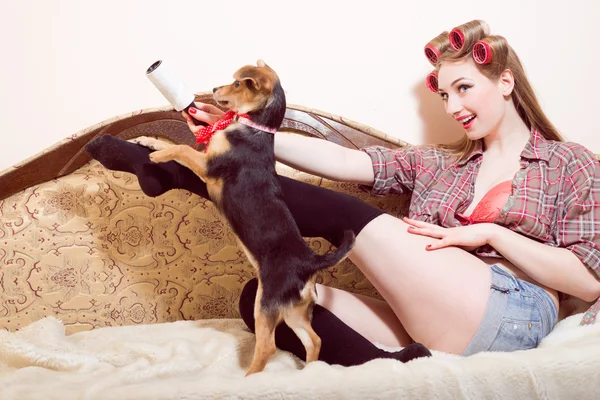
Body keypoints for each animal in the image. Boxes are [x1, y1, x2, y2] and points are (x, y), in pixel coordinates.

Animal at [134, 60, 354, 376]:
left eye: (237, 83)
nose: (213, 89)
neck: (253, 128)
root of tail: (310, 262)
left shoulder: (208, 165)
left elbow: (182, 148)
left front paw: (159, 155)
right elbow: (177, 144)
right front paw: (148, 140)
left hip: (266, 302)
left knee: (268, 346)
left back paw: (248, 378)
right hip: (294, 308)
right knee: (313, 340)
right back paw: (309, 373)